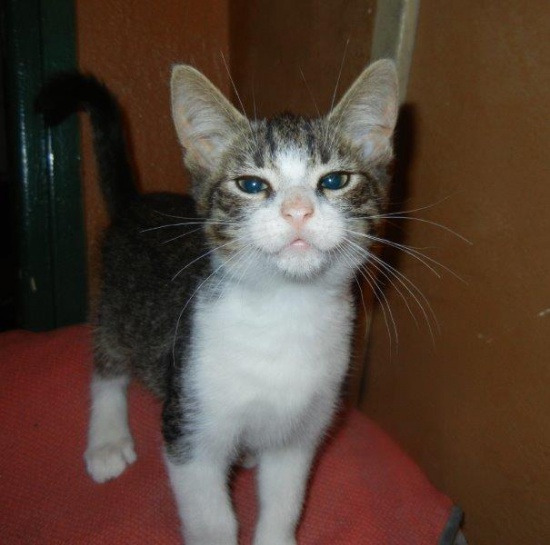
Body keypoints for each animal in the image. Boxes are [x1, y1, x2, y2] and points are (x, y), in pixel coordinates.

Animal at [36, 59, 398, 545]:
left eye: (335, 180)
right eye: (251, 184)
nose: (298, 210)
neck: (286, 310)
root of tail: (138, 202)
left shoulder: (302, 429)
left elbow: (285, 499)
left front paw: (276, 533)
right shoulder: (189, 424)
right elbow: (212, 519)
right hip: (117, 300)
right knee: (107, 358)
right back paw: (107, 437)